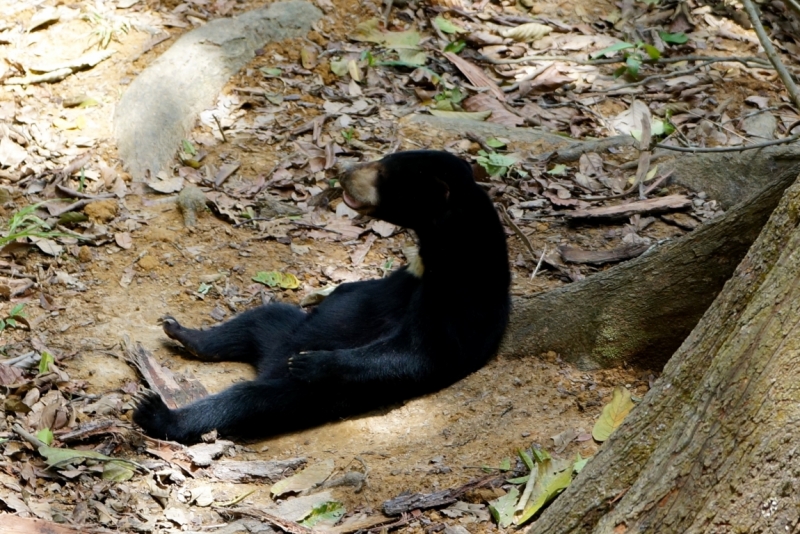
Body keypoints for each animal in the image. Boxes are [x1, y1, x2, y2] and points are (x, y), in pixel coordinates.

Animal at [130, 150, 506, 444]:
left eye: (383, 174)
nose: (343, 172)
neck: (441, 246)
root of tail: (267, 363)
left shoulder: (461, 295)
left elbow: (418, 353)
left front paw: (311, 362)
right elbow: (355, 291)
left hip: (305, 392)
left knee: (247, 401)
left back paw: (157, 413)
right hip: (282, 329)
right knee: (259, 319)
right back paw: (182, 332)